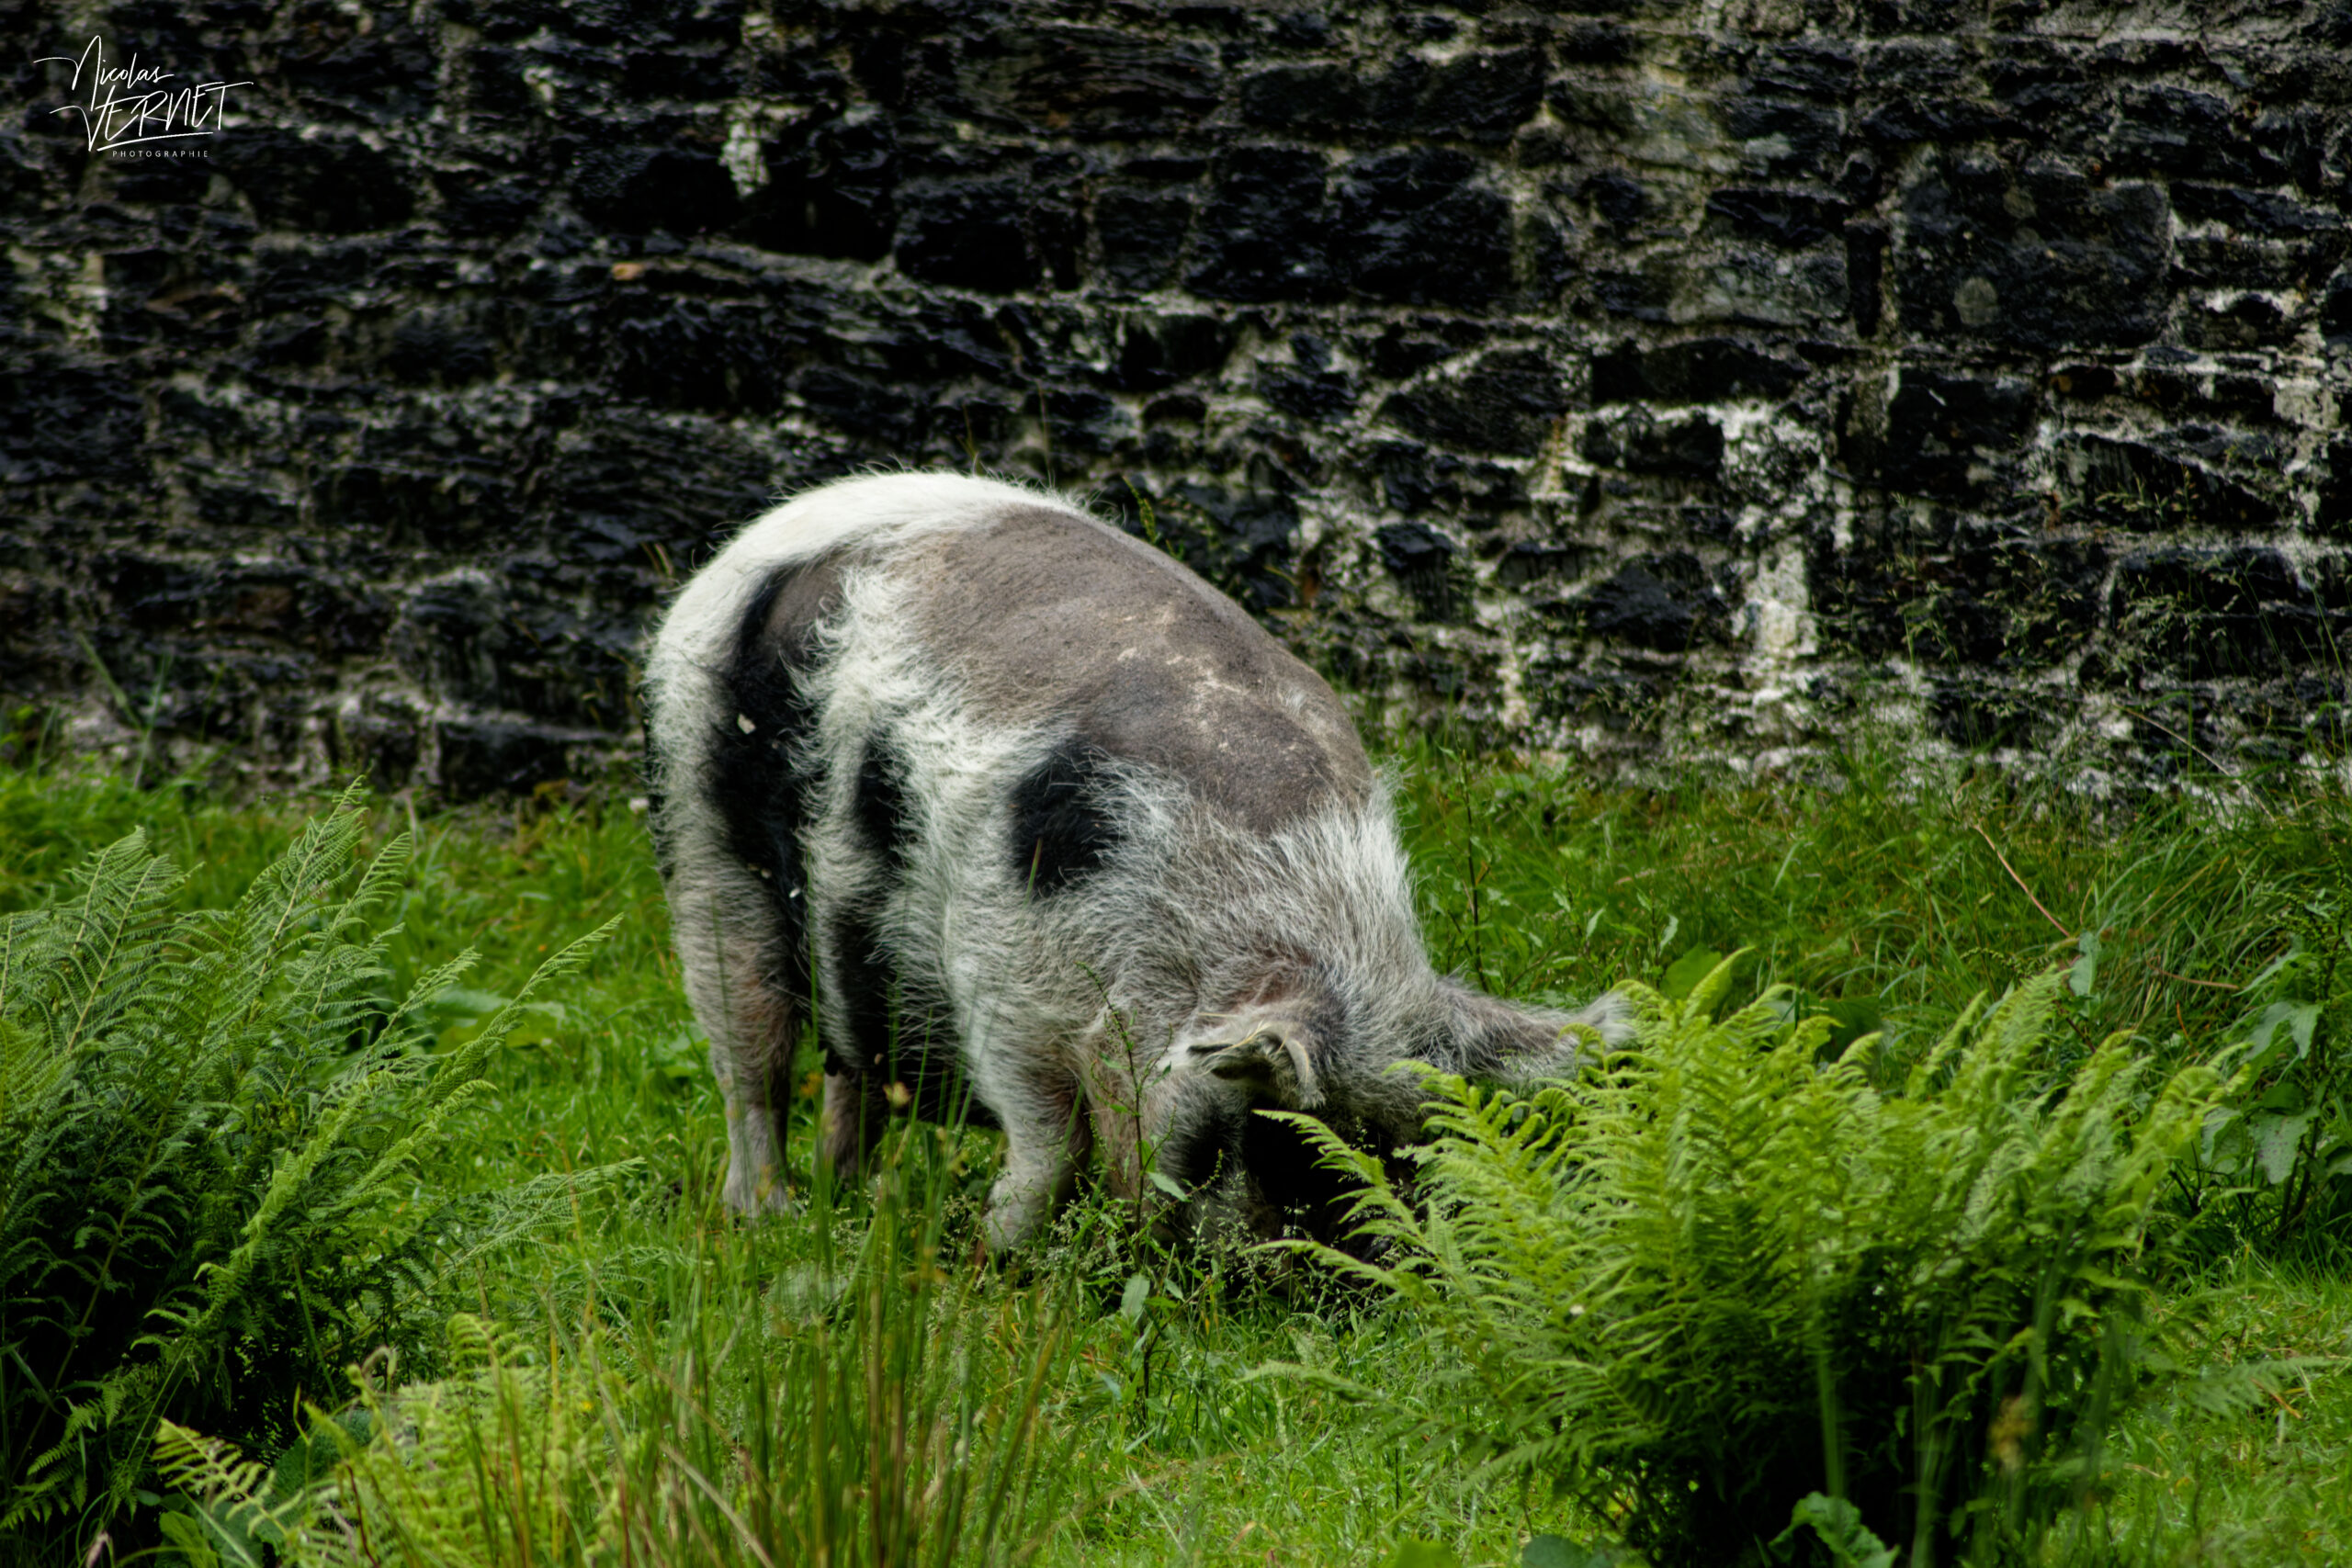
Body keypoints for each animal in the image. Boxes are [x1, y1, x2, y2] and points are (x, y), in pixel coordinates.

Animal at [643, 472, 1625, 1251]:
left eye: (1404, 1146)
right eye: (1267, 1135)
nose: (1330, 1272)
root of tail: (772, 528)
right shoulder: (995, 956)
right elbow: (1049, 1136)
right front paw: (994, 1251)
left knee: (849, 1070)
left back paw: (848, 1199)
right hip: (698, 837)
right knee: (751, 1058)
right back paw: (769, 1217)